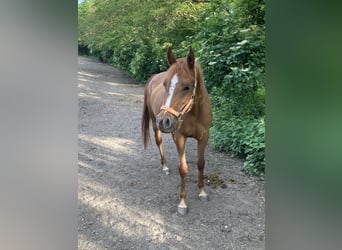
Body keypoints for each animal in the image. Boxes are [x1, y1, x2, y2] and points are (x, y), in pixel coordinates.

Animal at [141, 47, 211, 215]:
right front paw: (182, 203)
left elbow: (201, 164)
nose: (163, 120)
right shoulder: (180, 137)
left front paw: (202, 192)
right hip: (154, 124)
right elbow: (183, 168)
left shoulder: (204, 137)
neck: (194, 113)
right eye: (165, 84)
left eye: (187, 86)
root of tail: (153, 78)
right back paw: (165, 166)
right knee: (159, 142)